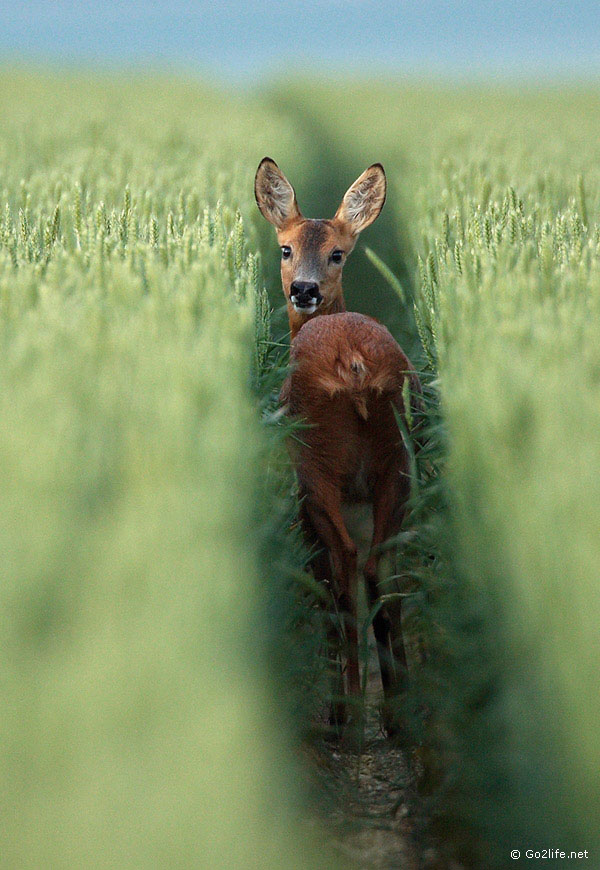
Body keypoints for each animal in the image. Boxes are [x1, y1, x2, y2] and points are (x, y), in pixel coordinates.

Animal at [255, 160, 424, 740]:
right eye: (285, 248)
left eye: (338, 253)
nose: (304, 289)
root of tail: (352, 363)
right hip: (397, 463)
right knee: (380, 570)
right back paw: (395, 710)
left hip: (316, 466)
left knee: (345, 572)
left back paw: (344, 713)